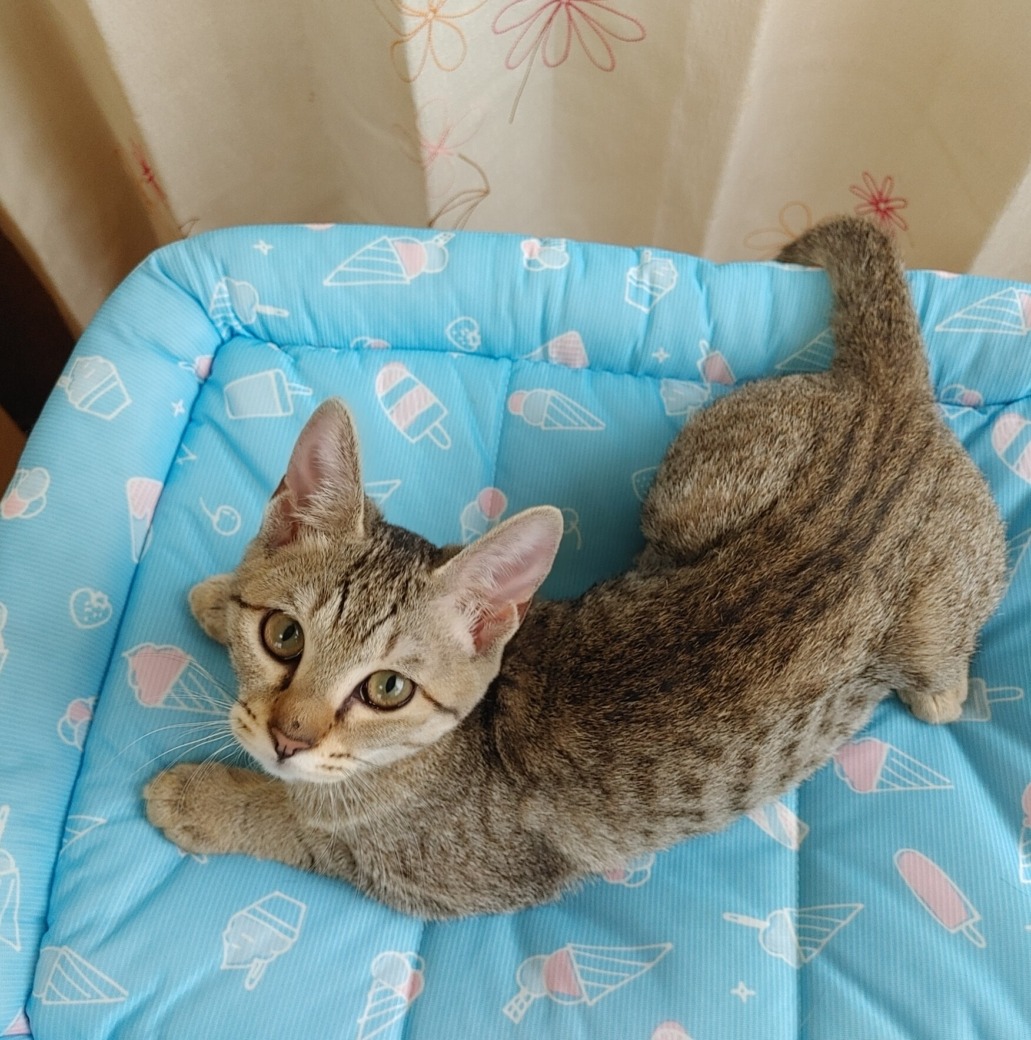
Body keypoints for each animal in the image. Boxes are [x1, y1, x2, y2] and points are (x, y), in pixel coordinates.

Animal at [146, 217, 1007, 918]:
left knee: (938, 679)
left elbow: (303, 825)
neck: (442, 747)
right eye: (284, 635)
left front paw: (203, 796)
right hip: (689, 493)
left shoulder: (437, 875)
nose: (287, 736)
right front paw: (220, 597)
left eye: (386, 689)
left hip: (928, 623)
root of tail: (890, 406)